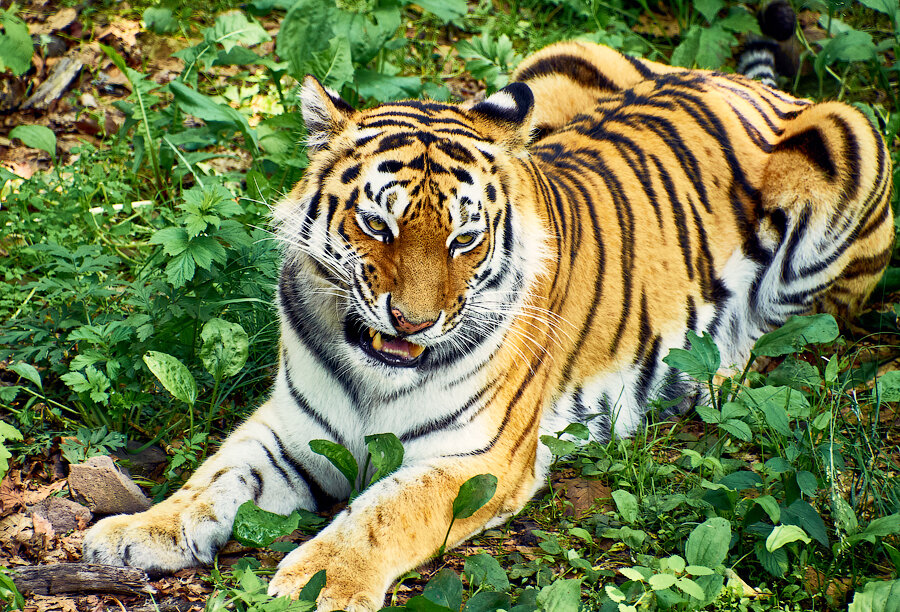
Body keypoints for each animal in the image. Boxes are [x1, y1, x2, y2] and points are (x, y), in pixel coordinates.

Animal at [82, 39, 892, 612]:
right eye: (376, 224)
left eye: (464, 240)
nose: (413, 321)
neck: (370, 371)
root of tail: (740, 82)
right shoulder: (290, 428)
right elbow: (214, 477)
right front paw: (137, 532)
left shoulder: (478, 460)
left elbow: (384, 512)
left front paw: (320, 581)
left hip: (852, 138)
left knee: (808, 325)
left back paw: (718, 370)